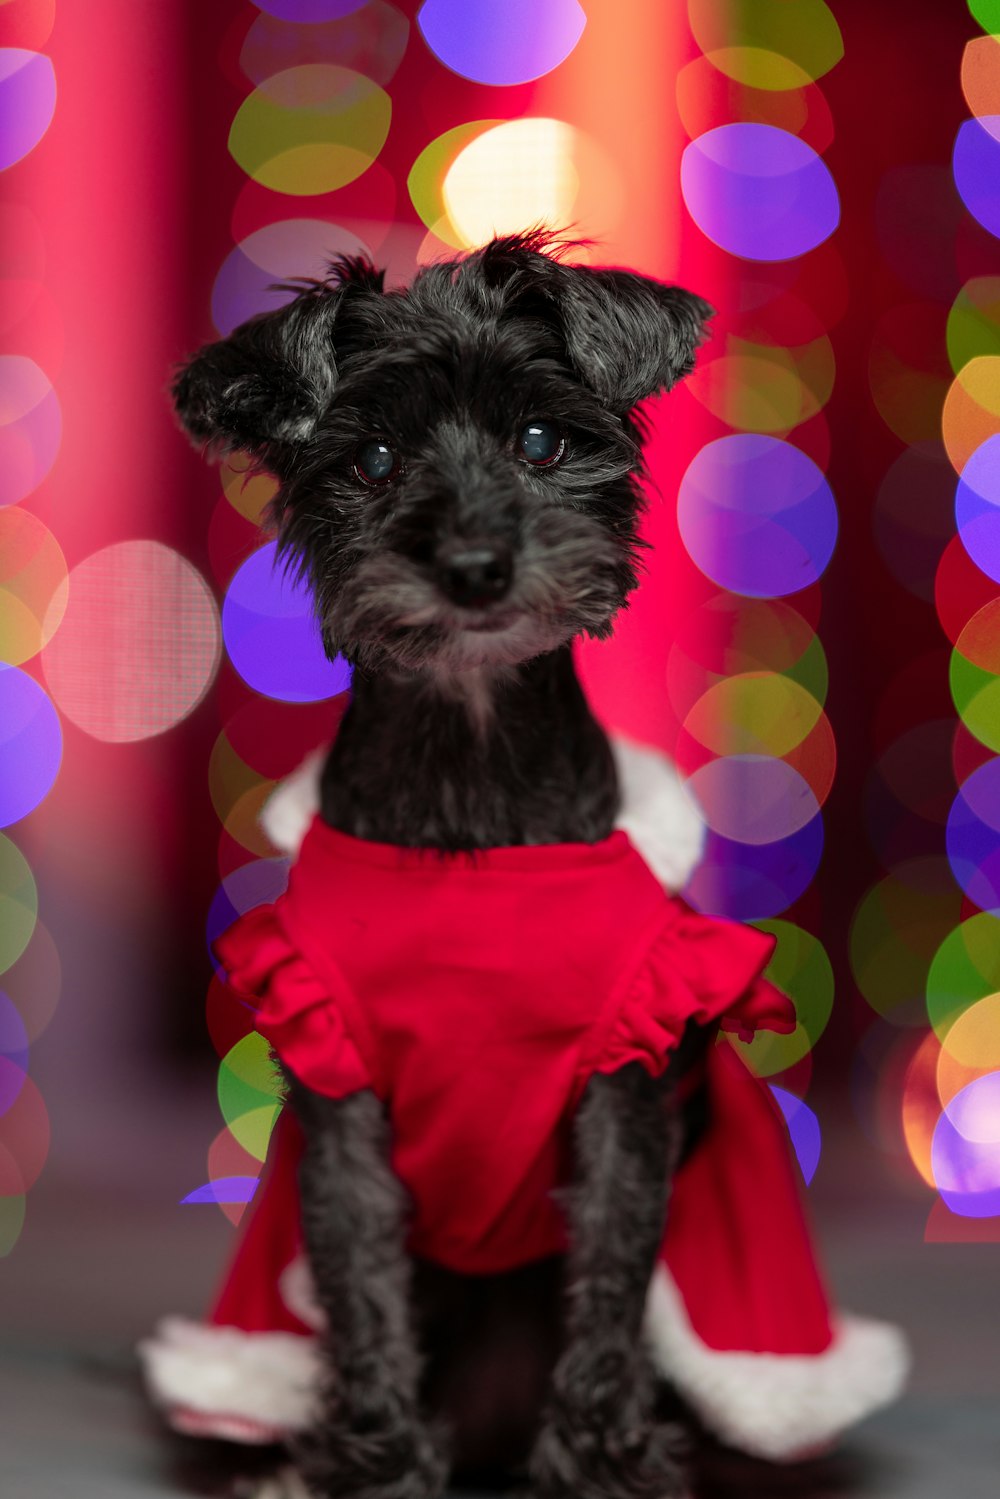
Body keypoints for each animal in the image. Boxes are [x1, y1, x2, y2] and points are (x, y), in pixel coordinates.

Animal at [170, 230, 719, 1499]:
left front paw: (603, 1464)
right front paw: (373, 1467)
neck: (468, 786)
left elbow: (611, 1282)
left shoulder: (623, 1081)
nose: (472, 563)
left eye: (540, 440)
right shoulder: (340, 1086)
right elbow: (364, 1293)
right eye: (372, 461)